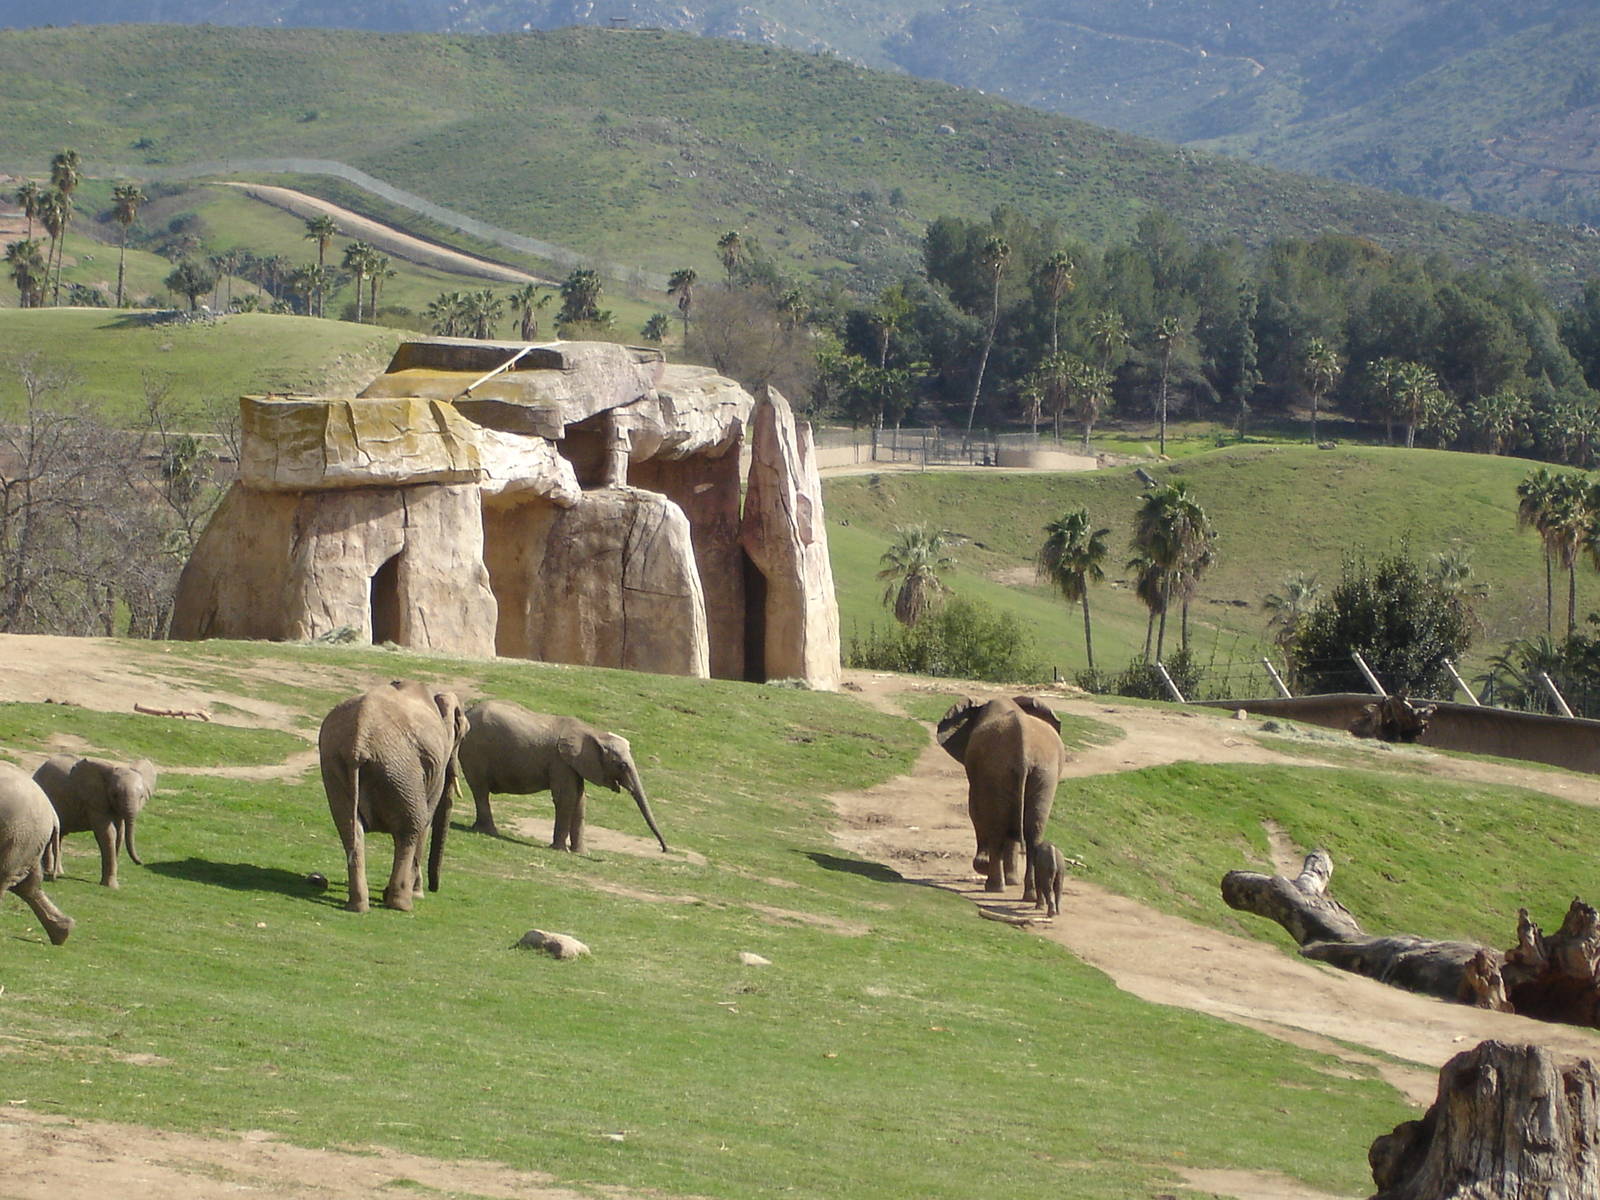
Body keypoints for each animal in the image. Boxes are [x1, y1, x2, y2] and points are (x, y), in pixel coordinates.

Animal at [33, 754, 156, 888]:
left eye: (141, 797)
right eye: (115, 795)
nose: (141, 862)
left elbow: (120, 834)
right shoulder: (94, 802)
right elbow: (108, 833)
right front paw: (112, 887)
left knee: (59, 834)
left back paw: (57, 872)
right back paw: (49, 872)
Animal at [318, 680, 470, 913]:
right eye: (462, 735)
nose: (434, 888)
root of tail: (359, 739)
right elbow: (427, 820)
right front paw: (418, 894)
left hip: (335, 765)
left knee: (349, 828)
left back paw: (358, 906)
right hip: (401, 770)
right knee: (412, 827)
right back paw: (402, 904)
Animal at [458, 700, 667, 853]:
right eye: (622, 765)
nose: (664, 849)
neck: (593, 732)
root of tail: (467, 711)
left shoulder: (573, 765)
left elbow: (580, 801)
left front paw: (581, 853)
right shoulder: (560, 762)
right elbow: (566, 798)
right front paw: (559, 850)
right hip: (474, 752)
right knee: (480, 789)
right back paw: (489, 832)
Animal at [937, 695, 1069, 901]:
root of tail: (1023, 752)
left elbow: (975, 810)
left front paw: (984, 867)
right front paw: (1012, 880)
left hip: (998, 771)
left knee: (997, 826)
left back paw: (994, 886)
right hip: (1043, 773)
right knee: (1032, 831)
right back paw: (1029, 895)